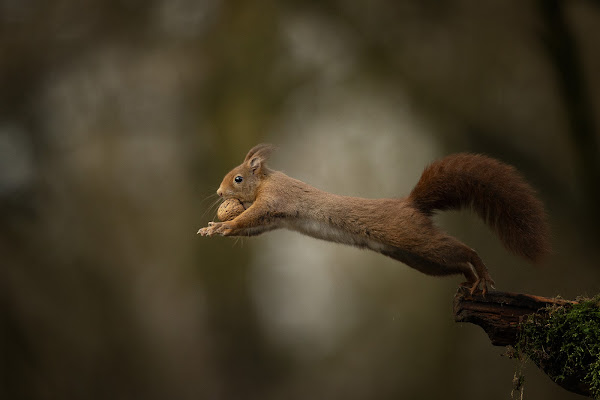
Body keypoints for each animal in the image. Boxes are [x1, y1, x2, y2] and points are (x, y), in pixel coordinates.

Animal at [197, 144, 548, 294]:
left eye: (238, 178)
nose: (218, 192)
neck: (266, 181)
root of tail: (411, 205)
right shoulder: (274, 218)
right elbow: (254, 227)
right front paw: (214, 227)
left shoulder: (275, 199)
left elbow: (249, 218)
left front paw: (223, 225)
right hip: (422, 261)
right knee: (456, 262)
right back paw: (471, 280)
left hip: (417, 240)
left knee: (464, 250)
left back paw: (483, 275)